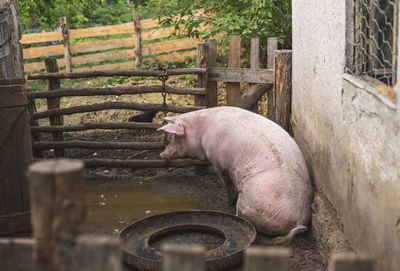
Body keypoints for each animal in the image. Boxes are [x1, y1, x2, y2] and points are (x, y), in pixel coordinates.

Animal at [158, 107, 310, 244]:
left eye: (176, 137)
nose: (162, 154)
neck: (201, 131)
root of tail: (299, 220)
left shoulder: (218, 160)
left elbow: (226, 181)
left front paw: (228, 201)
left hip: (252, 205)